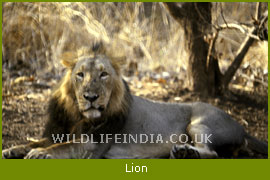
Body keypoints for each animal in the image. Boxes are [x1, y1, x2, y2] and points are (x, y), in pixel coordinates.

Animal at [2, 43, 268, 159]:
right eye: (80, 75)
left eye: (103, 74)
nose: (91, 97)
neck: (78, 114)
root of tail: (241, 126)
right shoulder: (61, 131)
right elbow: (41, 140)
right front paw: (13, 149)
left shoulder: (93, 145)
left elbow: (62, 147)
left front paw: (40, 153)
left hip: (200, 122)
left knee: (211, 153)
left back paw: (185, 152)